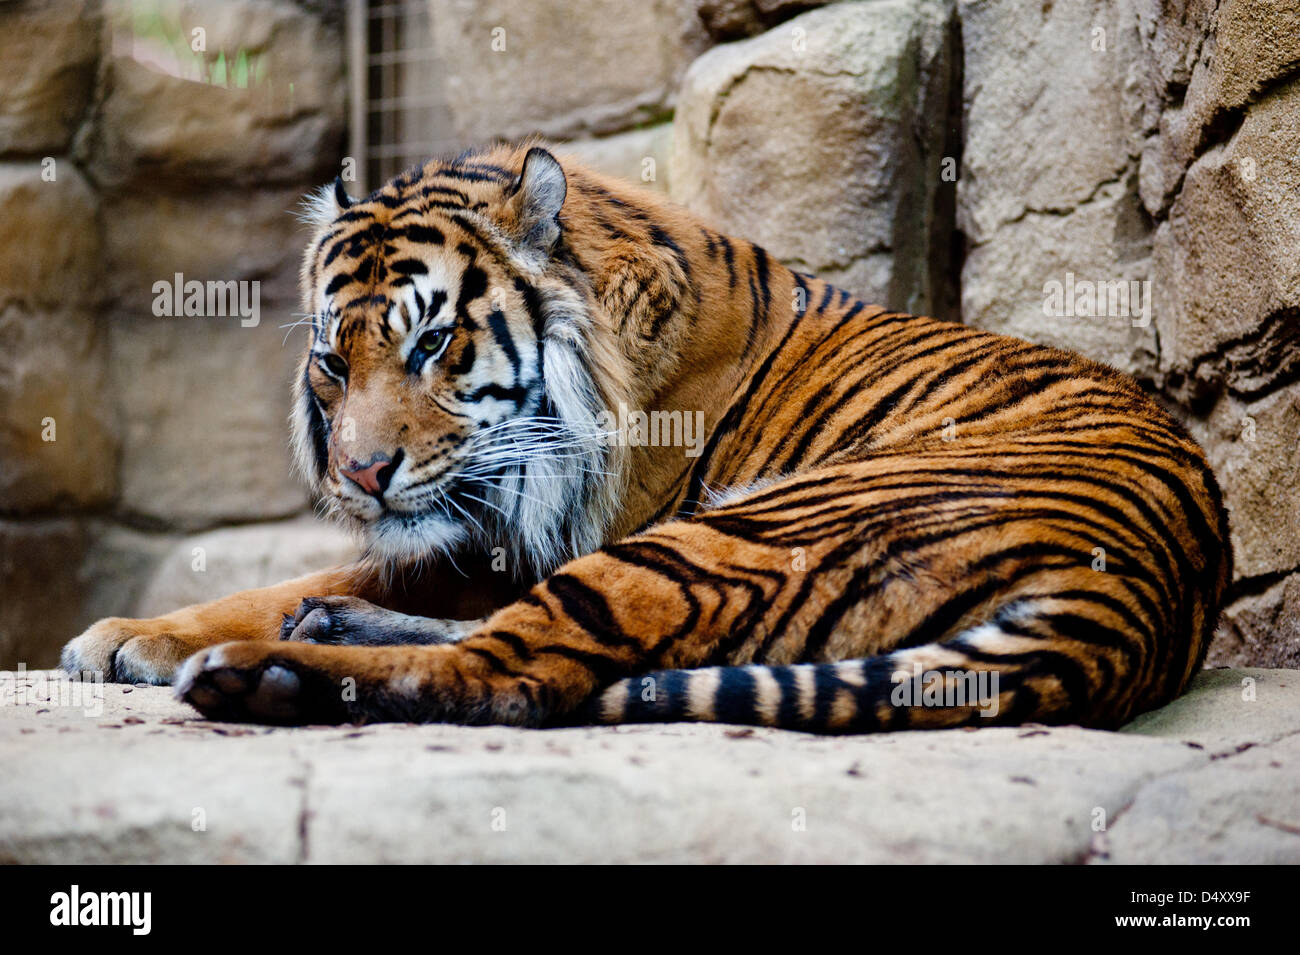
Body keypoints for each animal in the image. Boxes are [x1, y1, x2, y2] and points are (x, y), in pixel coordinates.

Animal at [61, 140, 1232, 732]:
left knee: (515, 675)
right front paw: (124, 632)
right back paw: (320, 629)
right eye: (334, 362)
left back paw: (261, 674)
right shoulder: (489, 535)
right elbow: (311, 573)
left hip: (742, 529)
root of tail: (1140, 592)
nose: (361, 471)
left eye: (434, 344)